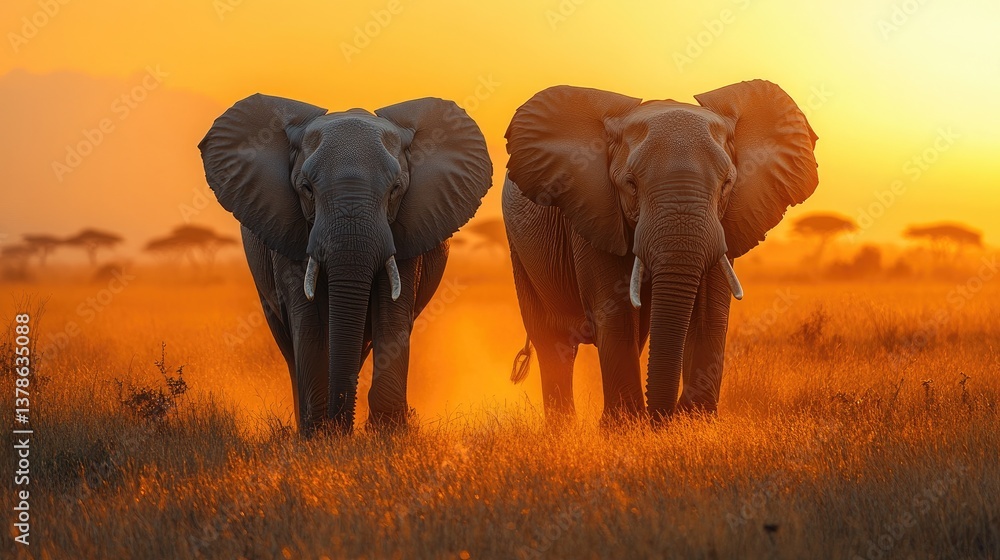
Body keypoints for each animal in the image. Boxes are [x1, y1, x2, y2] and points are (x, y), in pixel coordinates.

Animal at [199, 94, 492, 435]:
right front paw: (320, 436)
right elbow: (308, 319)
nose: (342, 427)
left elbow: (391, 313)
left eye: (396, 189)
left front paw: (388, 434)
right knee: (288, 344)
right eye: (306, 189)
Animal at [502, 80, 818, 424]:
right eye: (630, 185)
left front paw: (695, 423)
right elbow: (616, 312)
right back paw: (563, 431)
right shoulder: (594, 211)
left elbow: (710, 312)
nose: (661, 420)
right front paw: (625, 428)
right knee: (553, 343)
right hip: (519, 250)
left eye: (727, 184)